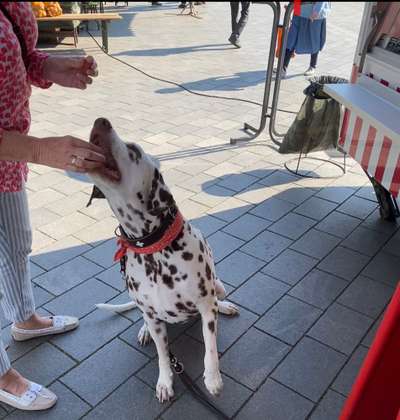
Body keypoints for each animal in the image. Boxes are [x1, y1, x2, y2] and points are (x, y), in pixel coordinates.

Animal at [87, 117, 238, 400]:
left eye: (133, 150)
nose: (101, 121)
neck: (153, 248)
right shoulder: (153, 315)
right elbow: (163, 355)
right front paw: (165, 381)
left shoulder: (205, 305)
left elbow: (210, 347)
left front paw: (213, 378)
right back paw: (144, 330)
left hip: (218, 286)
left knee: (218, 300)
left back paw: (224, 306)